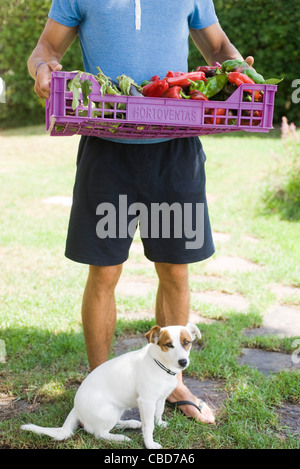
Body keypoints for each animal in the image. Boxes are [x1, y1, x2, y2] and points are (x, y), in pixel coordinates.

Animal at [21, 322, 202, 450]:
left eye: (187, 342)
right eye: (169, 345)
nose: (183, 362)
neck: (161, 365)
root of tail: (76, 409)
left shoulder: (160, 398)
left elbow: (158, 414)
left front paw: (159, 424)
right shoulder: (146, 401)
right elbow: (148, 426)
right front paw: (150, 444)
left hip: (116, 410)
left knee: (109, 425)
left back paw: (130, 423)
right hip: (109, 411)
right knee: (99, 433)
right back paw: (120, 438)